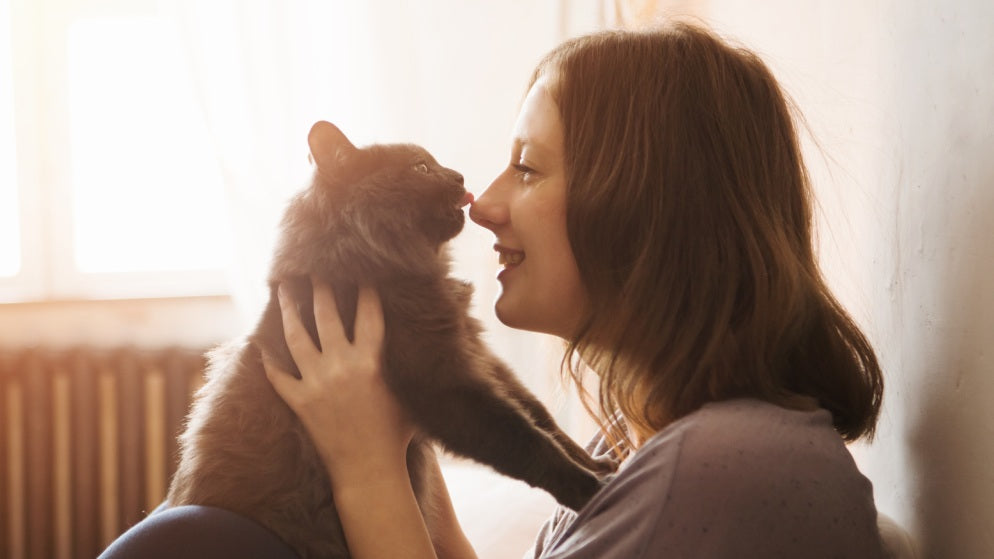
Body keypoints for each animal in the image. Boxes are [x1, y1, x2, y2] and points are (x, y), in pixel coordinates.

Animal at [167, 120, 608, 556]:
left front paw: (598, 462)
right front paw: (590, 489)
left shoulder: (477, 355)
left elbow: (541, 417)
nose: (459, 176)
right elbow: (525, 440)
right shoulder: (444, 382)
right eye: (421, 168)